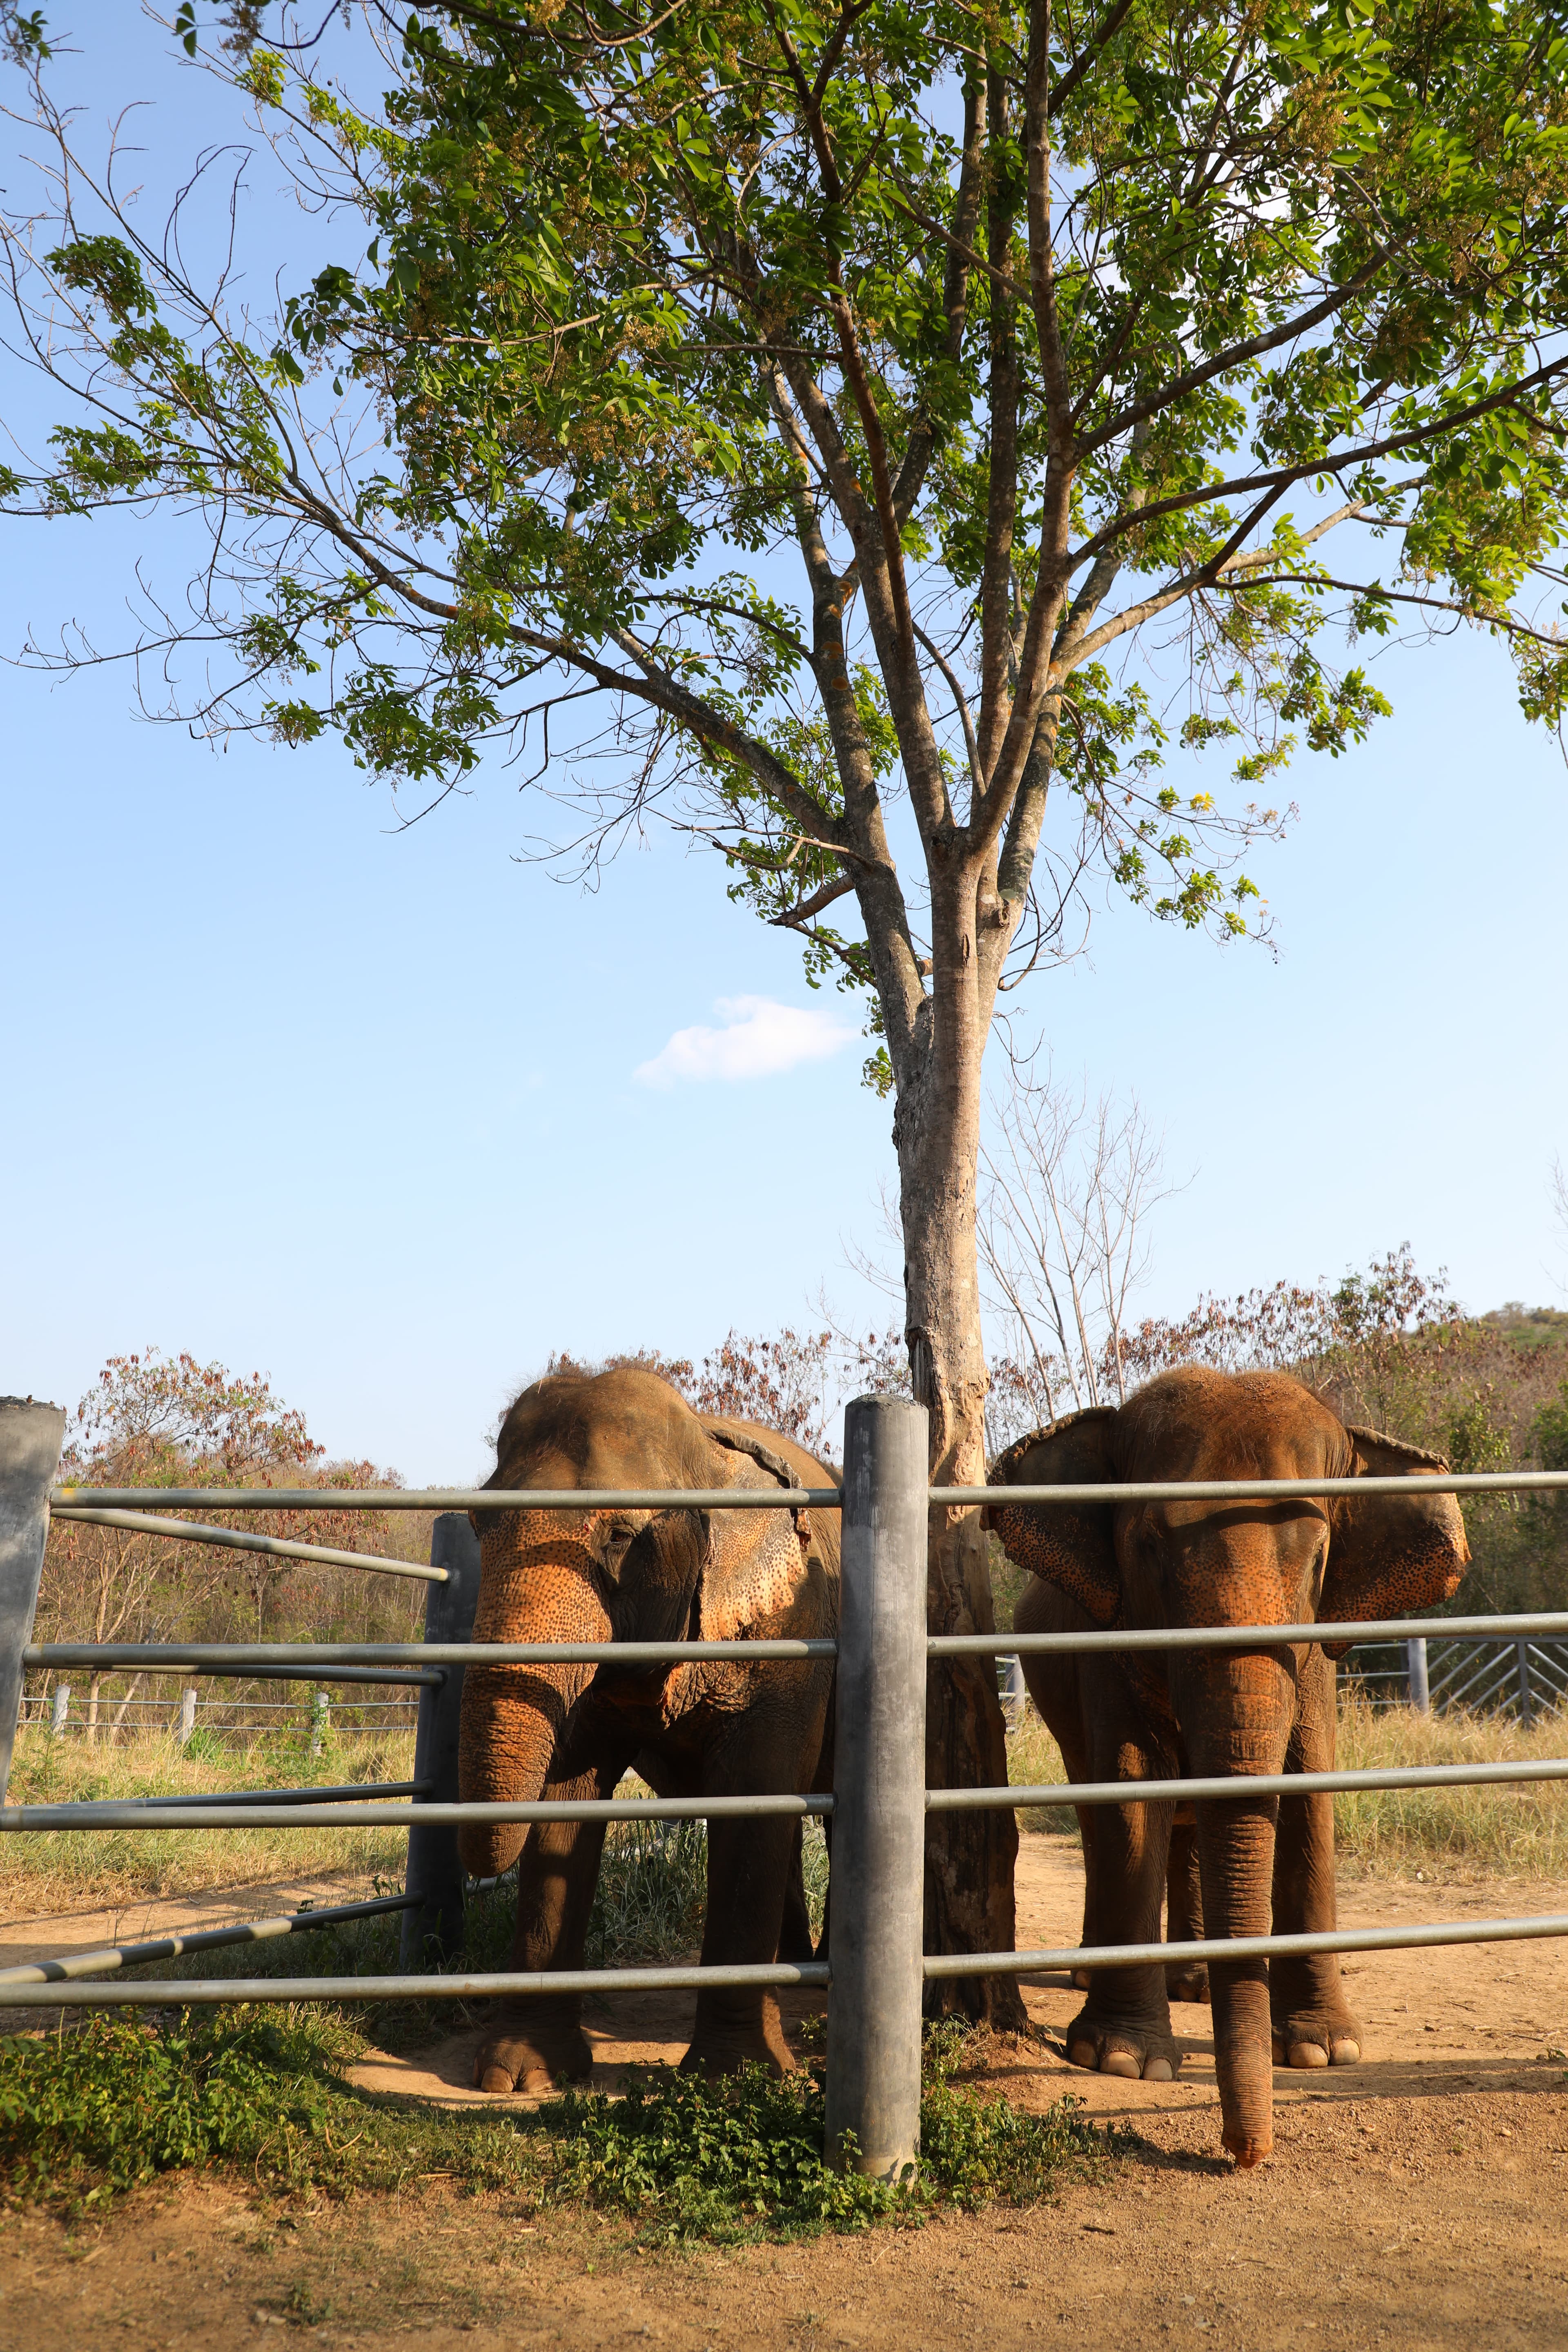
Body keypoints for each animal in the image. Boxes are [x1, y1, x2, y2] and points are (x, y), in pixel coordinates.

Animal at [456, 1365, 839, 2094]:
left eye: (618, 1536)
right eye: (477, 1523)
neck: (705, 1453)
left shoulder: (791, 1630)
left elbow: (757, 1799)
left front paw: (733, 2082)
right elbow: (566, 1800)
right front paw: (520, 2078)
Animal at [986, 1367, 1468, 2168]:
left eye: (1318, 1557)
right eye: (1148, 1545)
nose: (1243, 2154)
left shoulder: (1314, 1655)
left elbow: (1308, 1792)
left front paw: (1321, 2052)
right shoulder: (1107, 1642)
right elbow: (1131, 1789)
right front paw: (1122, 2060)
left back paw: (1195, 1985)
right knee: (1097, 1810)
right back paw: (1107, 1973)